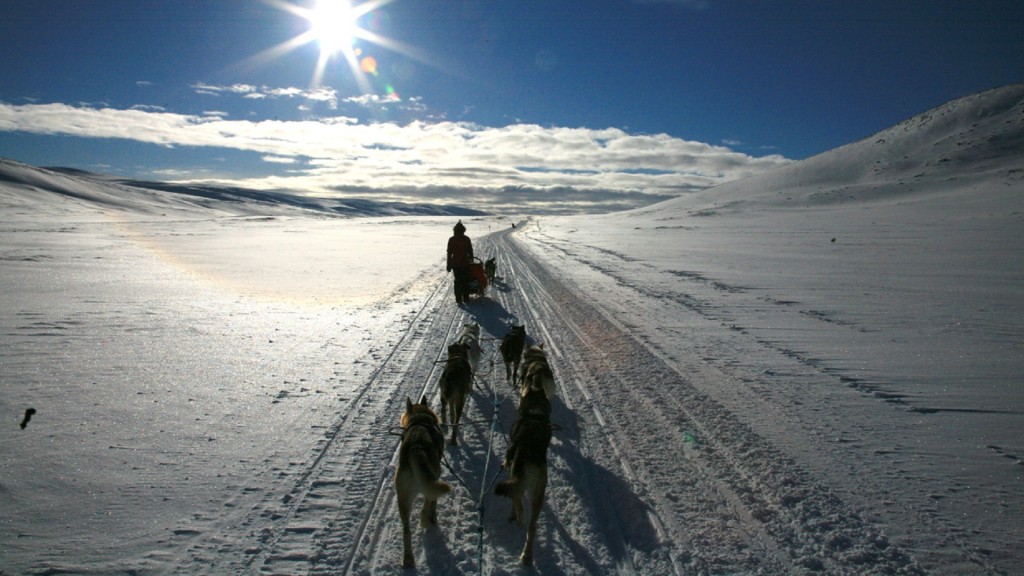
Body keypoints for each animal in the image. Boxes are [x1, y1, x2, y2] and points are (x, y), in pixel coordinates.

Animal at [395, 393, 452, 565]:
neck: (420, 419)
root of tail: (416, 447)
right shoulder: (436, 478)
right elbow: (434, 503)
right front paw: (433, 517)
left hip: (402, 498)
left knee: (406, 531)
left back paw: (408, 560)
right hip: (431, 482)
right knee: (426, 505)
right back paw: (425, 521)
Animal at [493, 373, 552, 565]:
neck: (534, 413)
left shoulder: (510, 470)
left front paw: (512, 515)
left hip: (517, 478)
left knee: (517, 499)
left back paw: (518, 518)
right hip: (538, 494)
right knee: (532, 528)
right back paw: (527, 556)